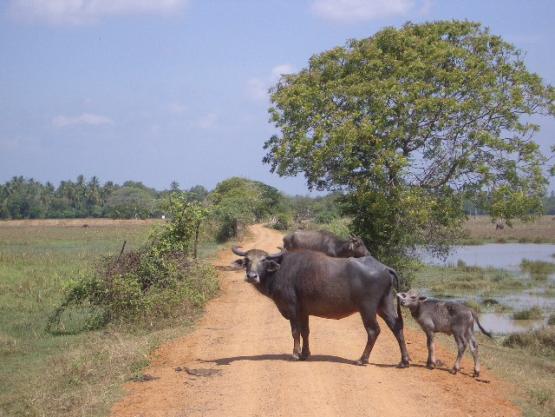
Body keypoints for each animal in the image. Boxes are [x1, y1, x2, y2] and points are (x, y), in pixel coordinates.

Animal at [232, 245, 410, 366]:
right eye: (247, 261)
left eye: (263, 260)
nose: (252, 276)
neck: (279, 270)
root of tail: (384, 268)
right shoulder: (303, 312)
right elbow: (305, 332)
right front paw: (305, 353)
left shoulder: (292, 309)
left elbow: (295, 332)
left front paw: (295, 354)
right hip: (385, 304)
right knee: (396, 327)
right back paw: (404, 360)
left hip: (368, 308)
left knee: (373, 330)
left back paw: (362, 359)